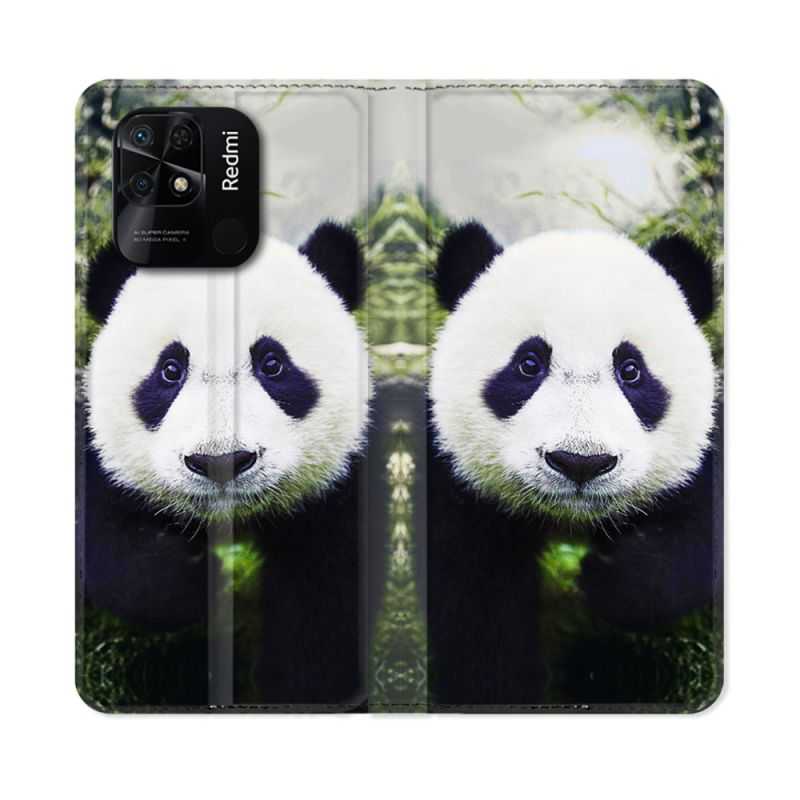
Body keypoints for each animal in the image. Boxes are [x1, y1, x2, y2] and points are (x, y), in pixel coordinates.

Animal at [79, 222, 371, 708]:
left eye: (272, 363)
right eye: (170, 370)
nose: (220, 462)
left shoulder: (338, 497)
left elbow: (323, 619)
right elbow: (108, 544)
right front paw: (193, 581)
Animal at [427, 222, 722, 708]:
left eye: (631, 370)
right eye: (528, 364)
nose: (581, 463)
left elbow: (697, 537)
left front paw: (610, 579)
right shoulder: (459, 492)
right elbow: (479, 618)